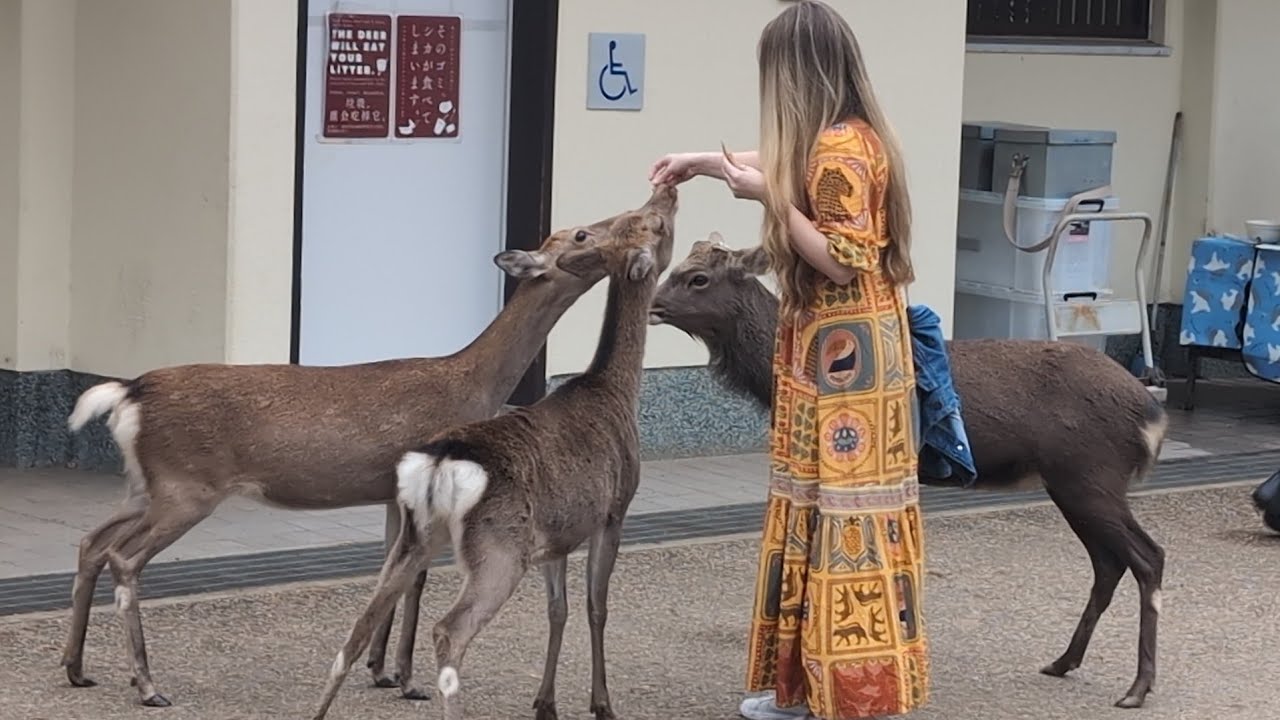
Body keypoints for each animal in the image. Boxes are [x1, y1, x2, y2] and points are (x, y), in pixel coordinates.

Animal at [59, 205, 651, 709]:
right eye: (580, 235)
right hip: (187, 487)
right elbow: (415, 578)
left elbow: (391, 567)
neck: (474, 382)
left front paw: (381, 669)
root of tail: (129, 392)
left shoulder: (393, 491)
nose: (625, 228)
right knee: (124, 557)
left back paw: (76, 667)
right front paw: (407, 679)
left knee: (92, 541)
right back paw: (146, 684)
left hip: (146, 484)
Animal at [311, 183, 678, 720]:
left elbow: (558, 610)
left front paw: (544, 702)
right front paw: (602, 703)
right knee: (450, 630)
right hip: (498, 548)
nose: (666, 191)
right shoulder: (615, 508)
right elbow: (597, 607)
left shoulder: (557, 534)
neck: (616, 390)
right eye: (655, 225)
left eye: (636, 217)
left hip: (415, 537)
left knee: (355, 631)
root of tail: (440, 462)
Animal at [648, 234, 1168, 710]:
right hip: (1075, 483)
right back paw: (1063, 662)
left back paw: (1137, 688)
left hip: (1090, 475)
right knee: (1109, 564)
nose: (652, 304)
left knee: (1148, 557)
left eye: (698, 278)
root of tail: (1152, 415)